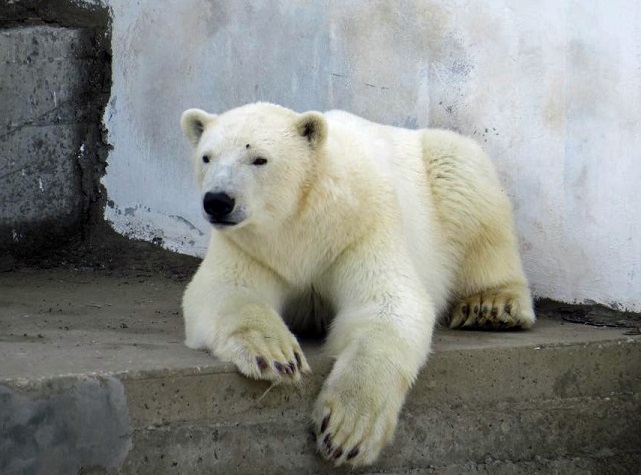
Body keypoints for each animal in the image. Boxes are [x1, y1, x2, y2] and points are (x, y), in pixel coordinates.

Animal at [178, 103, 532, 468]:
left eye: (259, 158)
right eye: (206, 157)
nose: (218, 201)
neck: (302, 217)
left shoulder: (359, 229)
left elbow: (386, 305)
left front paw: (347, 430)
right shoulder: (251, 246)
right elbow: (225, 290)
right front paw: (275, 355)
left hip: (445, 172)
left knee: (471, 195)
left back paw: (491, 305)